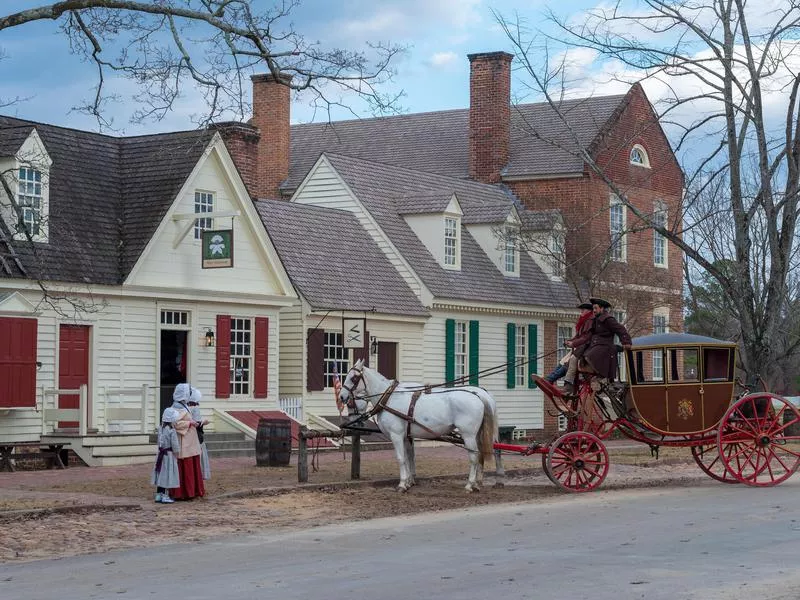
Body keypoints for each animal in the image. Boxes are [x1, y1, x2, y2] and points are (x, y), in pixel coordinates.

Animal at [340, 360, 506, 492]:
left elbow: (401, 458)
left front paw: (402, 484)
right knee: (488, 452)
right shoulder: (406, 436)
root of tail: (479, 396)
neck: (389, 398)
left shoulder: (396, 435)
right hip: (479, 433)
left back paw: (470, 484)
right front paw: (408, 482)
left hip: (468, 434)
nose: (342, 396)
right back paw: (479, 483)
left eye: (353, 378)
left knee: (474, 456)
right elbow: (409, 458)